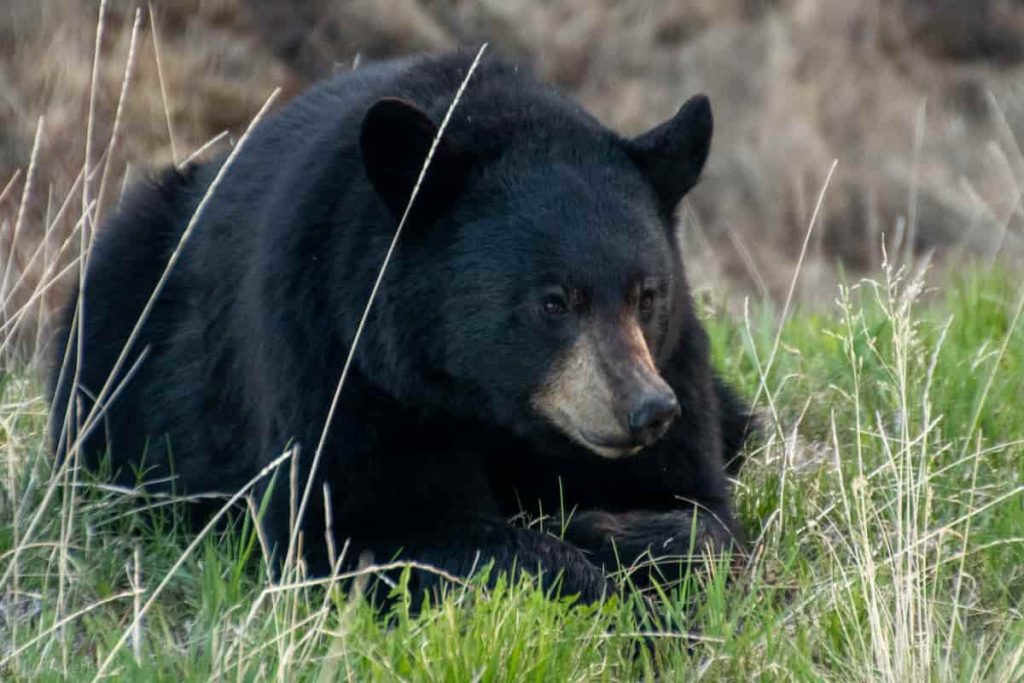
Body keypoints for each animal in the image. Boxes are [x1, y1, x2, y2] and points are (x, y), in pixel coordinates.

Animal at [48, 51, 751, 603]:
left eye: (647, 294)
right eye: (554, 302)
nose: (647, 410)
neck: (478, 404)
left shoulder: (678, 364)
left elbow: (702, 513)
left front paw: (605, 529)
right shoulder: (337, 354)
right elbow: (356, 524)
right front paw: (569, 559)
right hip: (119, 323)